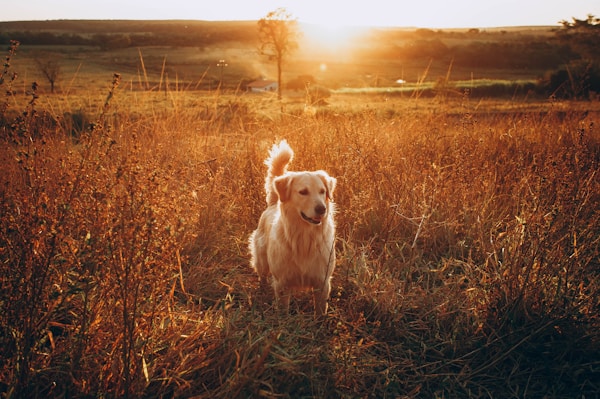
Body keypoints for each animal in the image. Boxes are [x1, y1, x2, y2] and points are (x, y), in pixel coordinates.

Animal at [248, 141, 338, 316]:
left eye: (322, 191)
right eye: (303, 192)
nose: (322, 209)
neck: (304, 237)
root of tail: (273, 203)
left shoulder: (322, 282)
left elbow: (320, 311)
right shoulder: (282, 283)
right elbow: (283, 310)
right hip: (262, 260)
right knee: (262, 276)